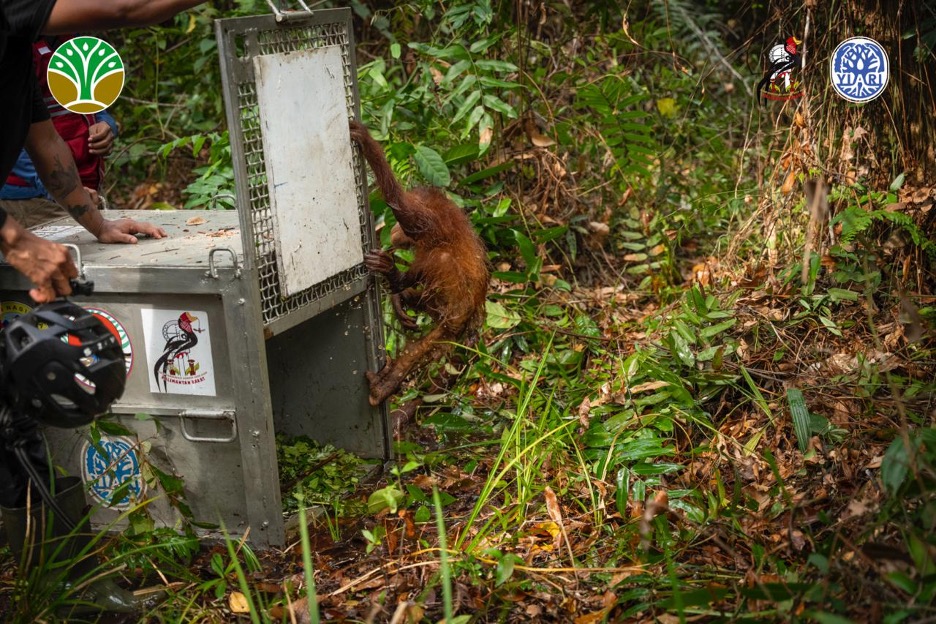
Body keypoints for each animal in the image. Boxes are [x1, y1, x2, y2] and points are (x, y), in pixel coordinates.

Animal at [349, 120, 490, 407]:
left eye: (399, 227)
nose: (393, 231)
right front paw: (397, 298)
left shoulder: (429, 221)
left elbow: (400, 205)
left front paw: (367, 142)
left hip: (453, 320)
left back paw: (382, 387)